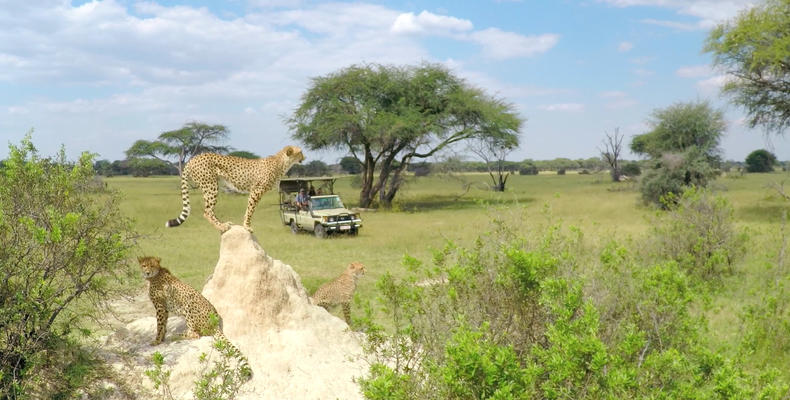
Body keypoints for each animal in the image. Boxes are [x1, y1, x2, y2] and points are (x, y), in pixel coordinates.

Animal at [166, 145, 304, 233]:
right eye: (300, 152)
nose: (304, 157)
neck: (282, 163)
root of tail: (193, 158)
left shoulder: (255, 191)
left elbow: (249, 209)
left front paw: (245, 225)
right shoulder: (256, 191)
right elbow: (250, 209)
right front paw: (247, 226)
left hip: (209, 186)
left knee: (209, 210)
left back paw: (224, 224)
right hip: (211, 186)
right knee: (207, 211)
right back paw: (221, 227)